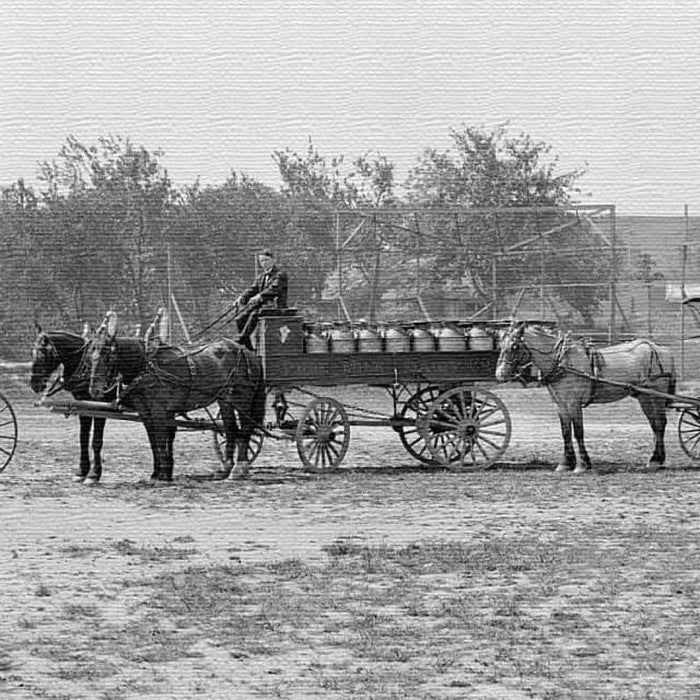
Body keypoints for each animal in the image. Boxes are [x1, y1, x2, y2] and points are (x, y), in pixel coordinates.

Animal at [29, 324, 108, 484]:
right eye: (32, 352)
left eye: (43, 354)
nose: (35, 384)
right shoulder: (84, 406)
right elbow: (83, 438)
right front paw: (82, 471)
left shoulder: (99, 407)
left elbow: (96, 441)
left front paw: (94, 474)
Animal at [90, 316, 266, 484]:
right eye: (91, 353)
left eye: (106, 354)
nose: (94, 390)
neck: (146, 366)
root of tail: (249, 353)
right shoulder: (145, 413)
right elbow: (154, 442)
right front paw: (157, 473)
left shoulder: (159, 411)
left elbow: (161, 440)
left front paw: (162, 475)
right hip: (225, 399)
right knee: (231, 429)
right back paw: (226, 468)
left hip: (241, 397)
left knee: (245, 428)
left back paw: (239, 469)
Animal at [494, 326, 676, 474]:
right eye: (500, 346)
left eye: (515, 346)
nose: (500, 374)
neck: (561, 362)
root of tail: (659, 348)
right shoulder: (560, 405)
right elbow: (566, 432)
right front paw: (565, 464)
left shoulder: (573, 403)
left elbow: (578, 432)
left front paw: (582, 465)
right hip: (645, 397)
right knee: (655, 425)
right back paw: (656, 459)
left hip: (656, 395)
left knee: (660, 424)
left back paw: (656, 460)